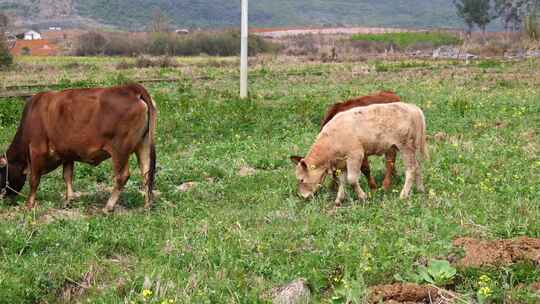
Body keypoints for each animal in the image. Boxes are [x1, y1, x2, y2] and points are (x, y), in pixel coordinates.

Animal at [0, 82, 157, 211]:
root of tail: (130, 88)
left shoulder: (36, 150)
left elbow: (34, 179)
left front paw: (29, 204)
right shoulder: (67, 152)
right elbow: (67, 175)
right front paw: (69, 200)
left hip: (120, 150)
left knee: (122, 175)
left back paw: (108, 207)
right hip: (143, 144)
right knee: (146, 172)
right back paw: (147, 206)